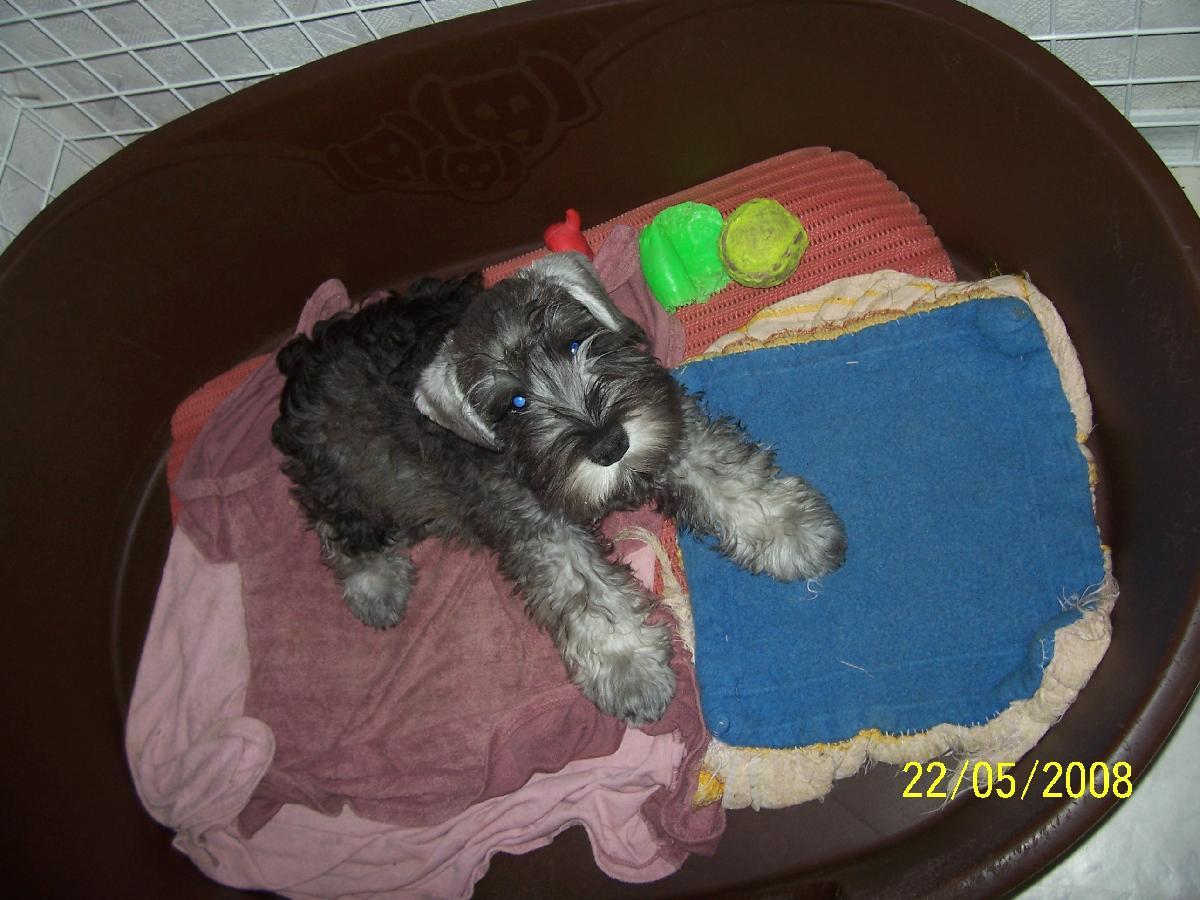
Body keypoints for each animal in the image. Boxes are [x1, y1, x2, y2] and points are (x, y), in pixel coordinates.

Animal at [271, 252, 846, 725]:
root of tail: (305, 354)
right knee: (338, 526)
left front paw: (793, 528)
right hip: (354, 472)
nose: (611, 444)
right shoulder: (539, 528)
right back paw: (375, 586)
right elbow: (586, 590)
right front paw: (630, 667)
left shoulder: (671, 433)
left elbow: (728, 475)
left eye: (574, 342)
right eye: (517, 402)